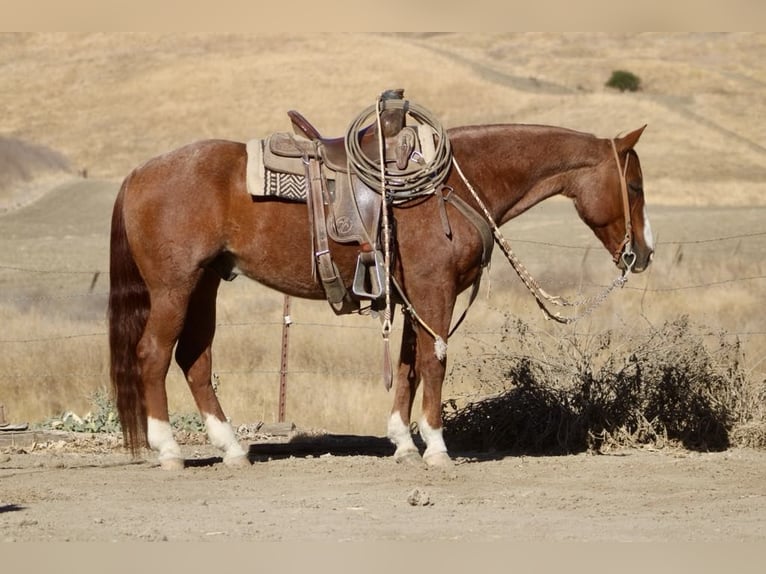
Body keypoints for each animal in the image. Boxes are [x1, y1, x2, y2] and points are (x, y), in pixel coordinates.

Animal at [108, 121, 653, 470]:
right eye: (634, 185)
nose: (643, 253)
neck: (454, 184)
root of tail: (138, 173)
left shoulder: (412, 297)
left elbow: (409, 364)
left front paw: (403, 442)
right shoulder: (434, 290)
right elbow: (435, 361)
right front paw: (436, 448)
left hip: (204, 285)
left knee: (194, 360)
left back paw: (233, 450)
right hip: (174, 288)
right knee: (154, 354)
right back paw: (169, 450)